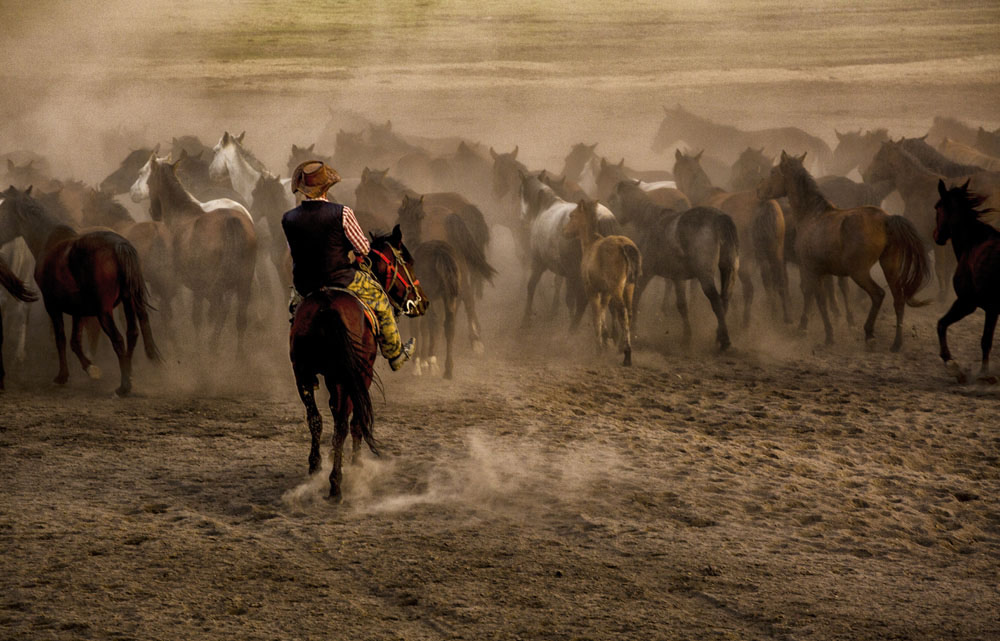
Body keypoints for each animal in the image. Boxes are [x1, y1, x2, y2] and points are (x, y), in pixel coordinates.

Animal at [0, 185, 160, 396]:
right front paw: (90, 368)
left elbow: (61, 338)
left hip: (104, 311)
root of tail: (120, 246)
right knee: (132, 332)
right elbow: (75, 340)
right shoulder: (78, 308)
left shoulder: (52, 304)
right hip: (130, 301)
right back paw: (129, 373)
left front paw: (63, 375)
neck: (48, 239)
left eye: (3, 209)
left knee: (117, 338)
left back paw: (123, 386)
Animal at [292, 225, 428, 500]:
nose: (424, 302)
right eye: (408, 262)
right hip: (349, 375)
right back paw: (336, 483)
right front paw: (355, 463)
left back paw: (315, 469)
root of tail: (326, 306)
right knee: (345, 423)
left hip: (303, 373)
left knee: (316, 419)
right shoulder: (360, 376)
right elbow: (356, 420)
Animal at [932, 178, 996, 382]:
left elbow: (942, 324)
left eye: (937, 207)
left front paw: (954, 366)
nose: (936, 236)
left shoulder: (969, 303)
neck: (974, 243)